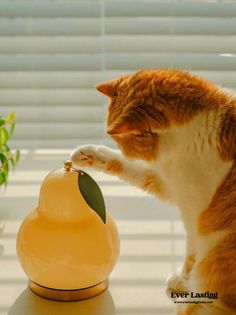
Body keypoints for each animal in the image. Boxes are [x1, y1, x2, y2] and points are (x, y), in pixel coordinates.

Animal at [71, 69, 235, 315]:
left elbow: (192, 254)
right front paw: (88, 154)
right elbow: (123, 166)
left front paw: (182, 280)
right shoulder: (168, 182)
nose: (124, 151)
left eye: (124, 142)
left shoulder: (194, 214)